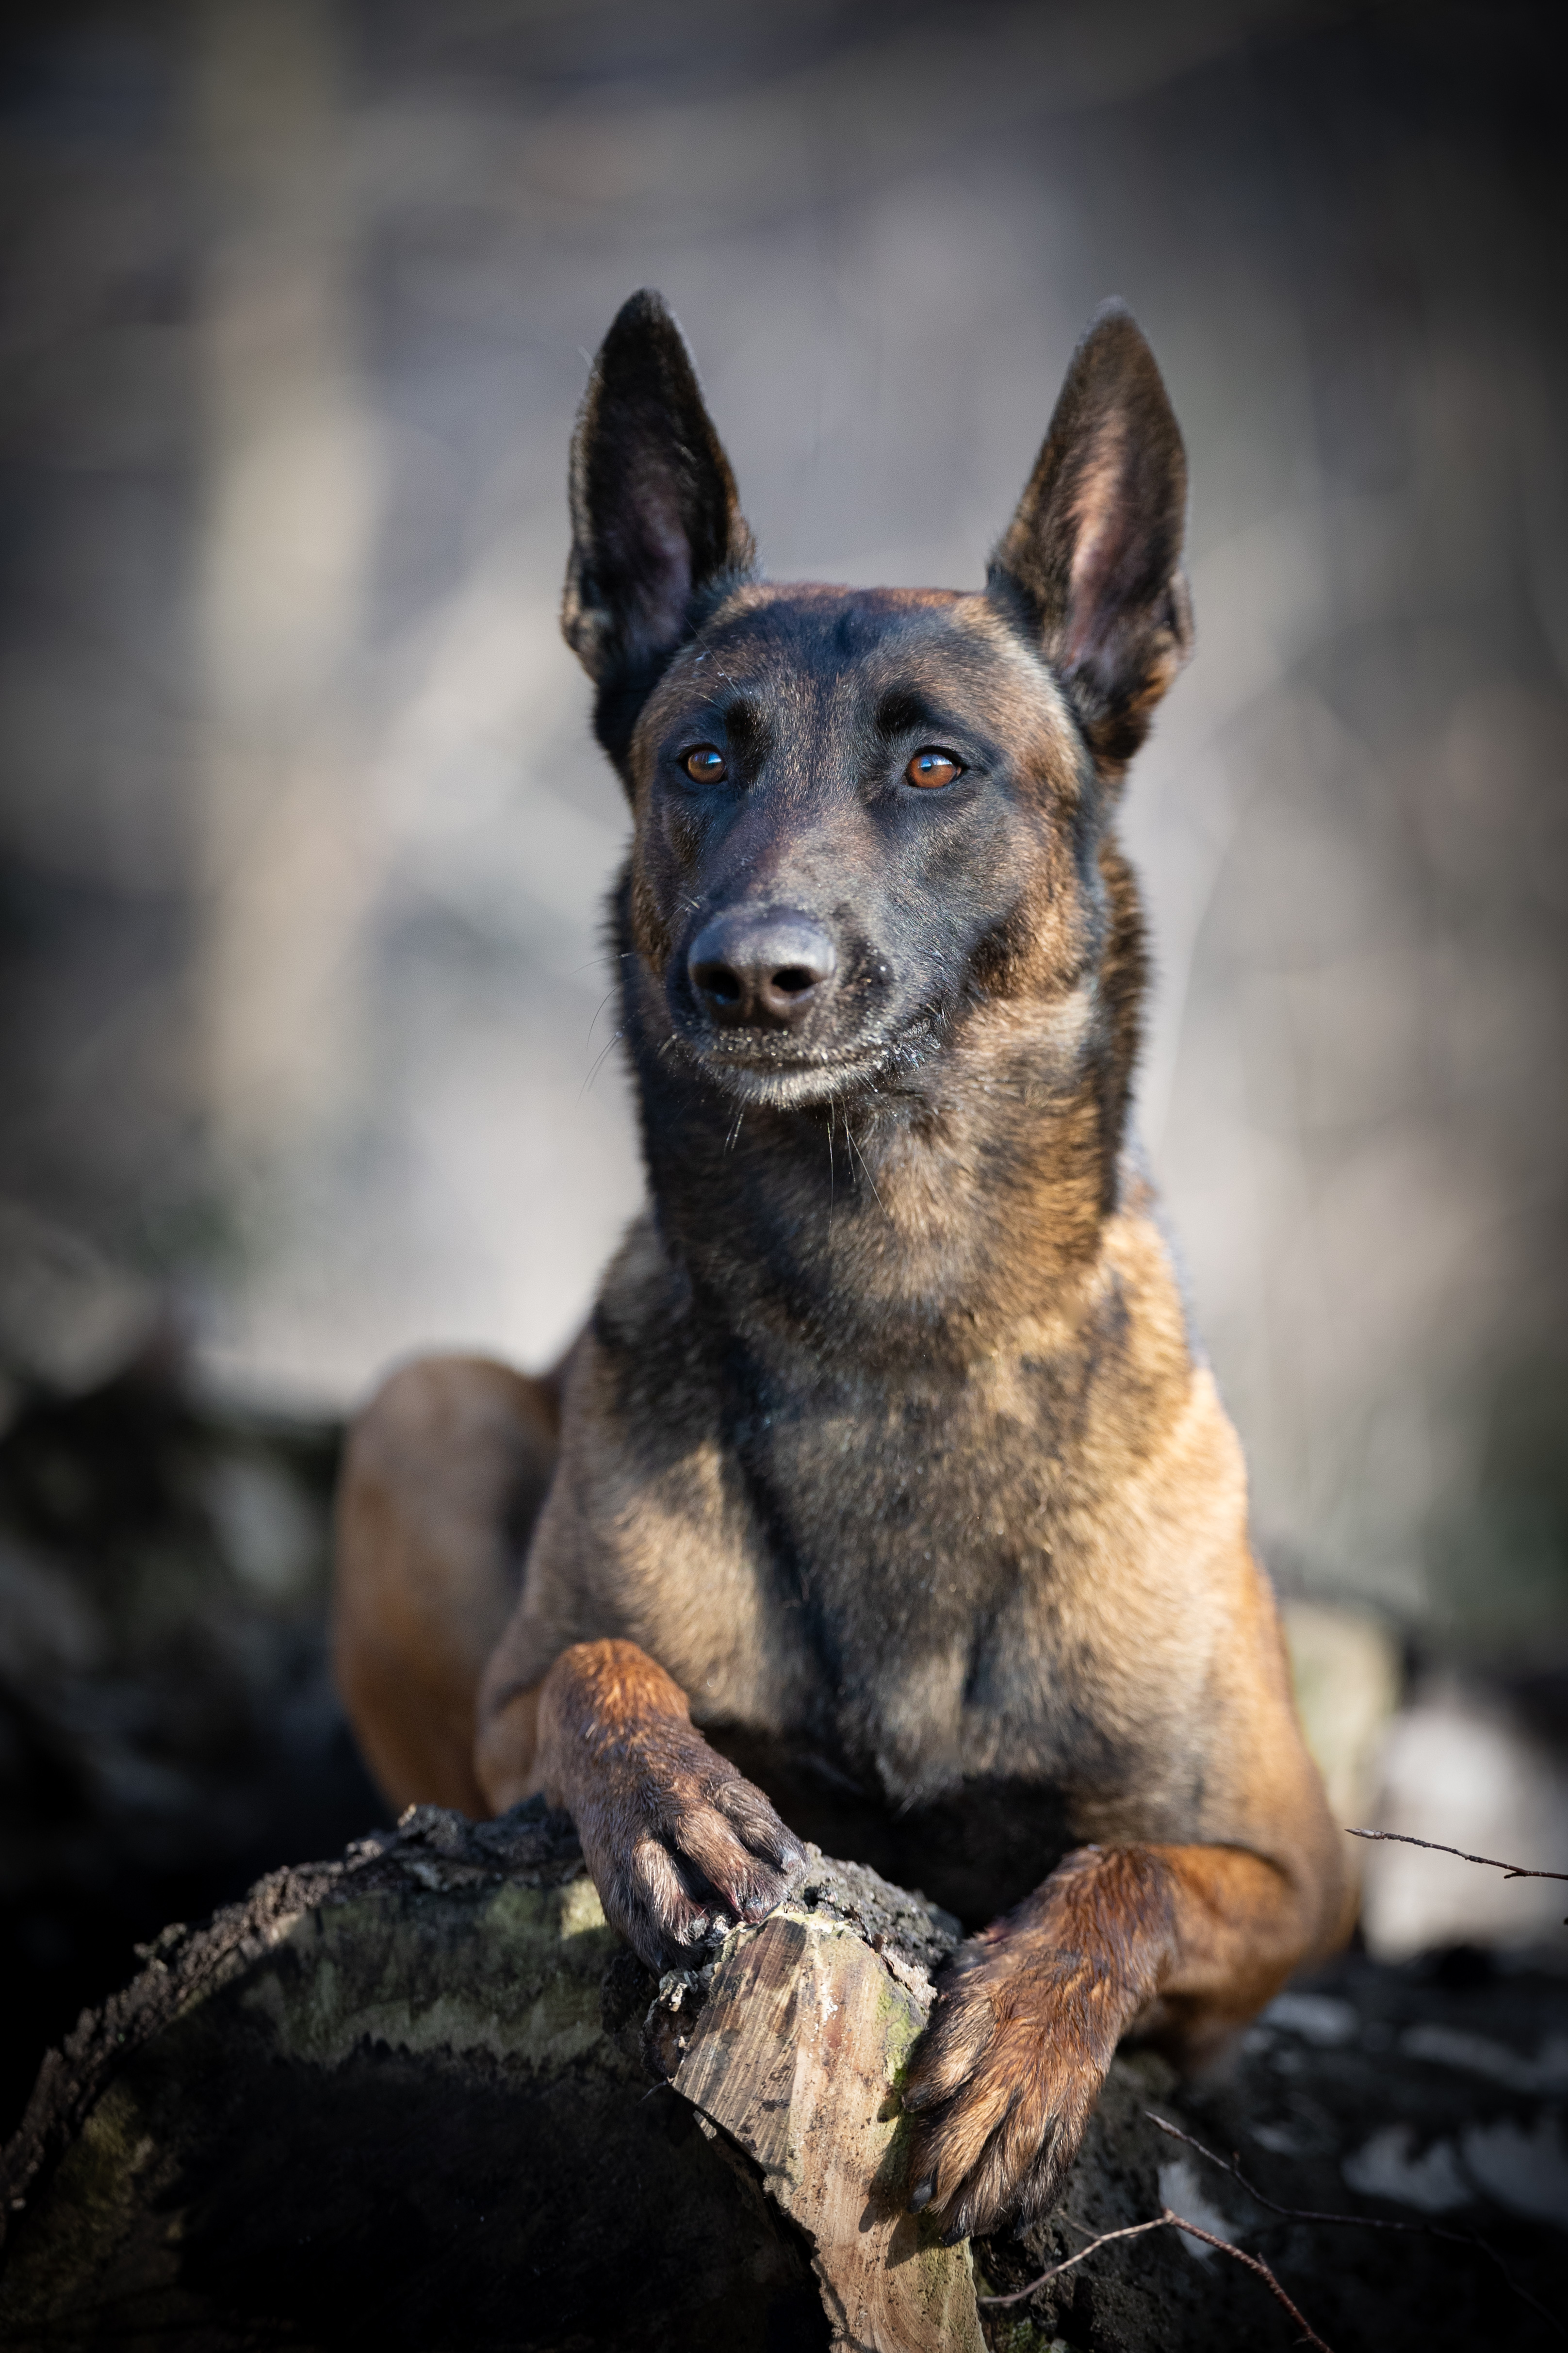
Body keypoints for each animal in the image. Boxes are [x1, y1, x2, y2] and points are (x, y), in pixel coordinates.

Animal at [333, 289, 1350, 2244]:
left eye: (933, 764)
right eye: (699, 759)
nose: (751, 974)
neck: (892, 1310)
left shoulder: (1293, 1875)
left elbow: (1125, 1862)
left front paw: (1027, 2029)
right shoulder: (509, 1719)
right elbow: (591, 1671)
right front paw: (673, 1795)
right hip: (419, 1405)